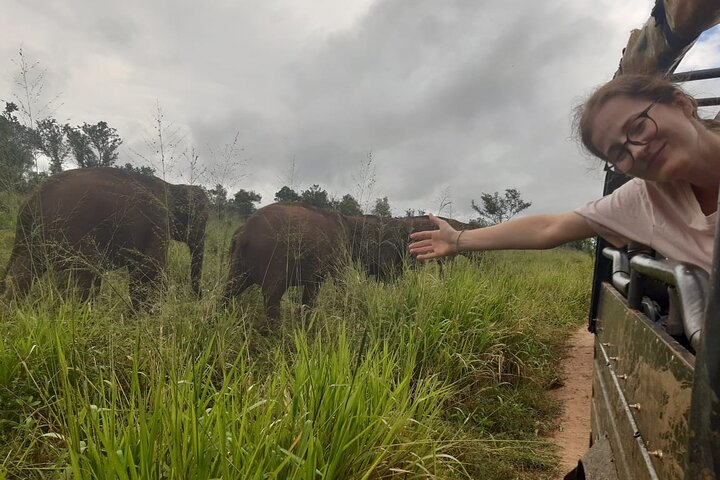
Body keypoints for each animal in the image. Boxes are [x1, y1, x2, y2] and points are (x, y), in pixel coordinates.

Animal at [0, 167, 208, 310]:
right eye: (203, 220)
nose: (198, 298)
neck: (172, 187)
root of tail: (31, 200)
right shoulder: (158, 222)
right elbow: (151, 268)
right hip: (73, 232)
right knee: (85, 275)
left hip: (35, 236)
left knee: (26, 271)